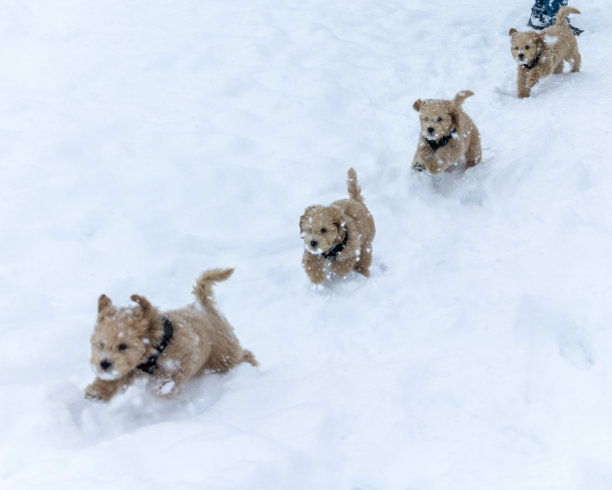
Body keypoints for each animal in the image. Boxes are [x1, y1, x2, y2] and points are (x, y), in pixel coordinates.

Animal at [84, 268, 256, 402]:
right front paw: (97, 390)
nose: (104, 364)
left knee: (243, 355)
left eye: (123, 346)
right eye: (101, 345)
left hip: (223, 354)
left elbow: (170, 376)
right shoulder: (132, 367)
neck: (159, 344)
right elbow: (118, 376)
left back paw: (252, 367)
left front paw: (160, 388)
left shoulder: (186, 356)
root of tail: (204, 305)